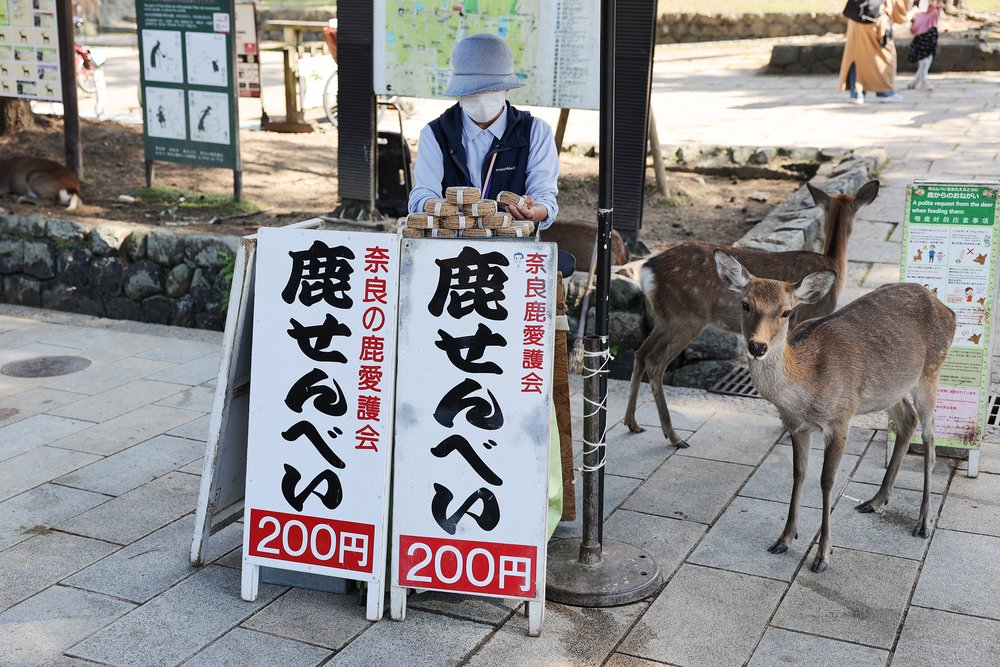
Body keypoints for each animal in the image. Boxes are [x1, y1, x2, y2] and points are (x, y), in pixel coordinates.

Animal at [623, 180, 880, 448]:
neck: (834, 264)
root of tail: (647, 270)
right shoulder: (808, 316)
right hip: (686, 316)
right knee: (655, 362)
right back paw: (674, 436)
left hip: (665, 318)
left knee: (640, 353)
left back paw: (633, 423)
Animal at [713, 250, 955, 573]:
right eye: (745, 304)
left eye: (786, 312)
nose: (757, 346)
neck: (806, 388)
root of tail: (947, 308)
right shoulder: (796, 426)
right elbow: (799, 474)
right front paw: (784, 539)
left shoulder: (841, 419)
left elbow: (827, 482)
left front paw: (822, 556)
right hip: (890, 389)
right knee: (908, 420)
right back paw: (875, 501)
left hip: (930, 373)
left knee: (930, 435)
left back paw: (924, 523)